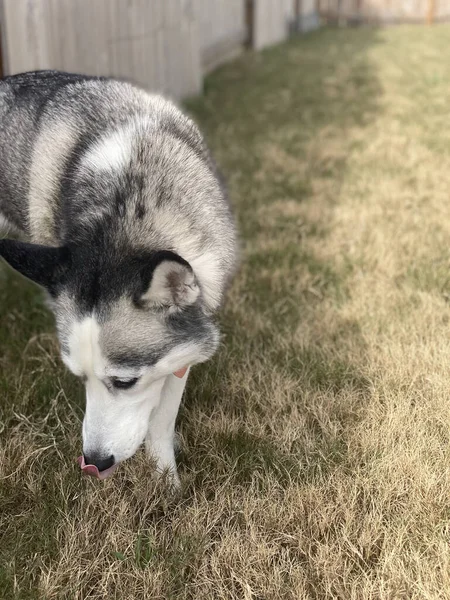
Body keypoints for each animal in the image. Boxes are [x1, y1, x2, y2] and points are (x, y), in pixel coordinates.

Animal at [0, 70, 239, 486]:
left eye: (125, 381)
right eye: (78, 376)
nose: (94, 462)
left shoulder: (181, 348)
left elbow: (162, 417)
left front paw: (165, 481)